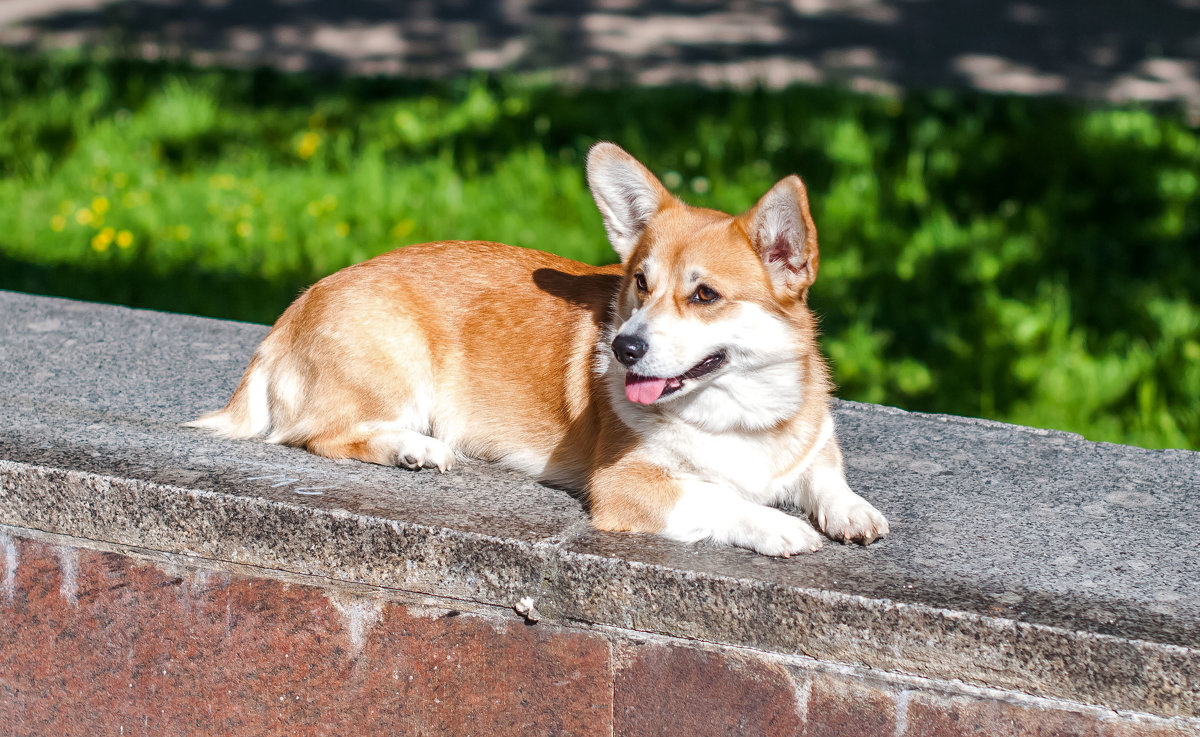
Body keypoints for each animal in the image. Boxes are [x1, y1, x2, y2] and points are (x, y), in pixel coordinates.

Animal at [189, 142, 892, 559]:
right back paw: (415, 449)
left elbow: (826, 477)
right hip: (398, 365)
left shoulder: (811, 450)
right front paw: (778, 526)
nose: (625, 347)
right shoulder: (627, 485)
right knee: (320, 434)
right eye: (640, 284)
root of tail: (290, 312)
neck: (737, 411)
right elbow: (720, 500)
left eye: (705, 295)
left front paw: (853, 512)